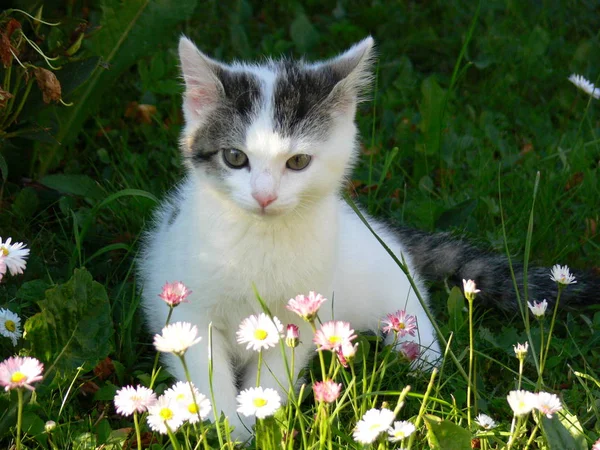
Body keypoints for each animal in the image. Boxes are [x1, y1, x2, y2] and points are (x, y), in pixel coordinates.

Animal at [139, 37, 596, 442]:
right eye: (235, 157)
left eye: (298, 161)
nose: (264, 196)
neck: (262, 238)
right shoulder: (188, 307)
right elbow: (204, 369)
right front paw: (228, 426)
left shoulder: (300, 309)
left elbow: (275, 371)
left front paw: (258, 416)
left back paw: (419, 359)